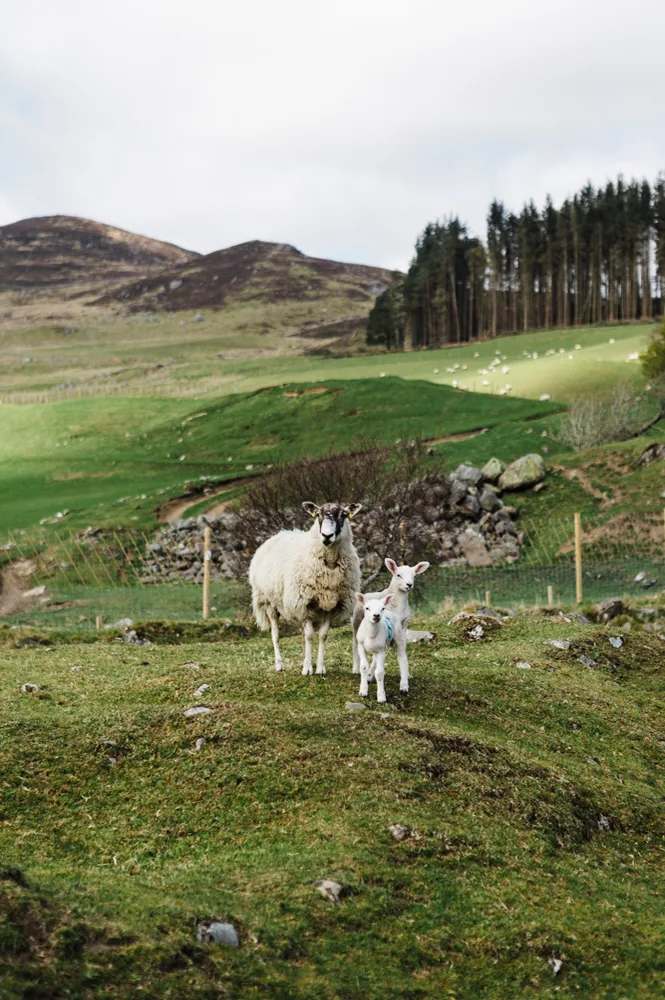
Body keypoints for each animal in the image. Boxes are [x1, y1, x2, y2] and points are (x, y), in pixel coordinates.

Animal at [249, 501, 362, 675]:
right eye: (318, 515)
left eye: (343, 515)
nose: (327, 536)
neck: (329, 565)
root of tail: (280, 534)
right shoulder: (304, 603)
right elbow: (309, 636)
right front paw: (307, 669)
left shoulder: (330, 605)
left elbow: (323, 635)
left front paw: (320, 667)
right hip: (268, 602)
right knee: (275, 635)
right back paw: (279, 664)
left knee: (301, 635)